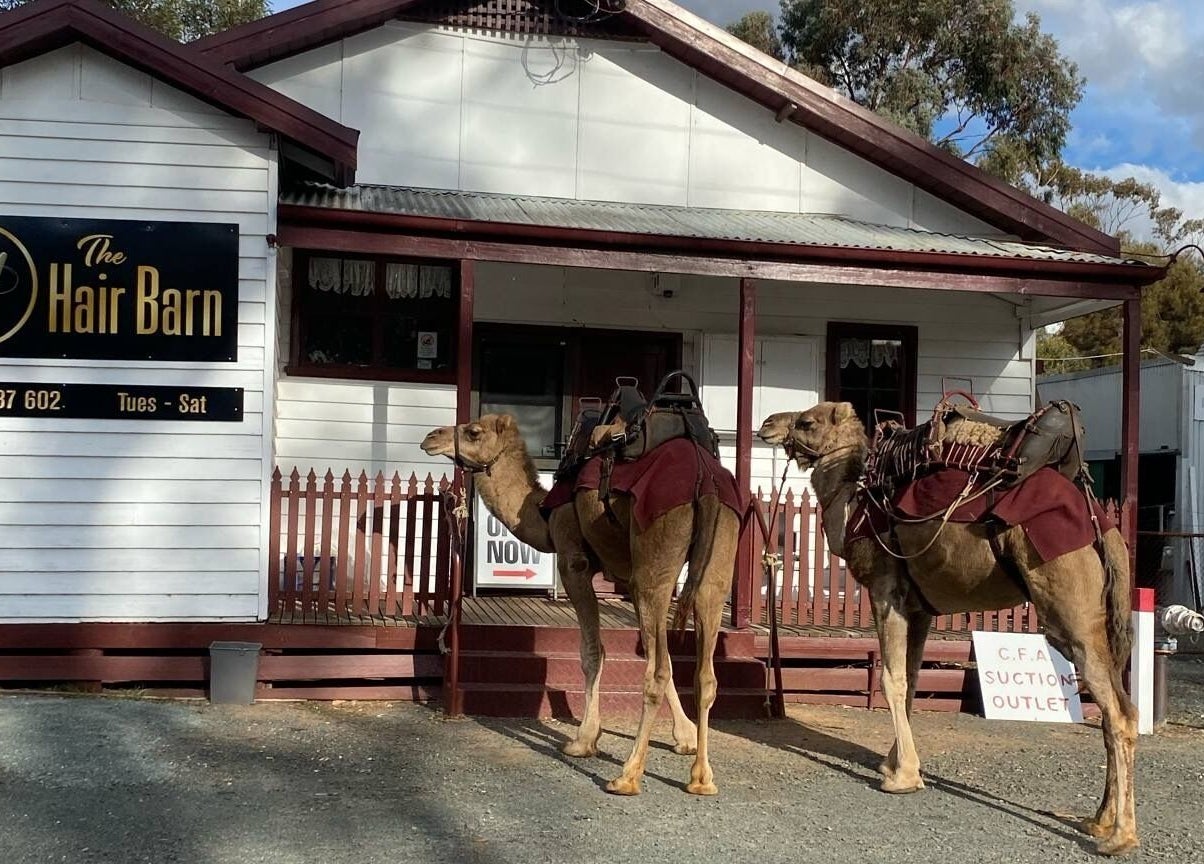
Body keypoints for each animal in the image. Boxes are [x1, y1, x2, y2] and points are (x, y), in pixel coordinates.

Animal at [421, 414, 740, 795]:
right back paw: (702, 778)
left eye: (473, 432)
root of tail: (706, 484)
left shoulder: (574, 561)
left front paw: (583, 740)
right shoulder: (627, 575)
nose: (430, 437)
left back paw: (627, 776)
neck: (543, 512)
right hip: (715, 562)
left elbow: (593, 651)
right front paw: (685, 737)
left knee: (658, 670)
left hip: (657, 557)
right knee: (704, 671)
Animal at [758, 402, 1139, 856]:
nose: (766, 424)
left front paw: (903, 778)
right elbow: (910, 679)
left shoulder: (885, 590)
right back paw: (1097, 820)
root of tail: (1104, 529)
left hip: (1069, 609)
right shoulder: (919, 607)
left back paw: (1119, 837)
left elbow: (890, 679)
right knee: (1120, 707)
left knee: (1118, 713)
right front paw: (893, 762)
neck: (855, 502)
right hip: (1098, 622)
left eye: (807, 422)